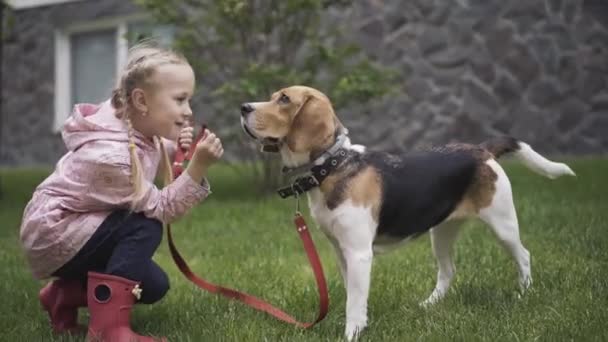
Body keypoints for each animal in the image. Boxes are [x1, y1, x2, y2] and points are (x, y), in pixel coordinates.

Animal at [239, 85, 576, 340]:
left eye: (284, 99)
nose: (243, 107)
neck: (334, 165)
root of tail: (481, 150)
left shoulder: (359, 253)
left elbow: (354, 302)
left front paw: (351, 334)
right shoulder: (341, 251)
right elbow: (353, 295)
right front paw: (360, 325)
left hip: (502, 224)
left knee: (524, 256)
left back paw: (523, 294)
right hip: (441, 233)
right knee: (448, 271)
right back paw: (429, 305)